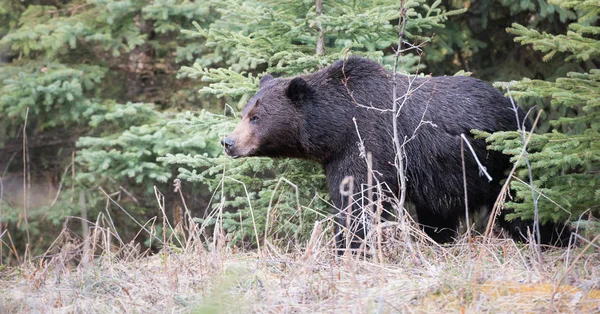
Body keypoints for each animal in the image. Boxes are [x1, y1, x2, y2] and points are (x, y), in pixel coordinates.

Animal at [221, 57, 572, 253]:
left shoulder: (368, 144)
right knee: (440, 218)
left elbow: (358, 203)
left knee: (525, 208)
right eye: (245, 111)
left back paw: (556, 242)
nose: (228, 142)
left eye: (256, 117)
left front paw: (349, 248)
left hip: (502, 162)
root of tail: (521, 112)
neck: (337, 126)